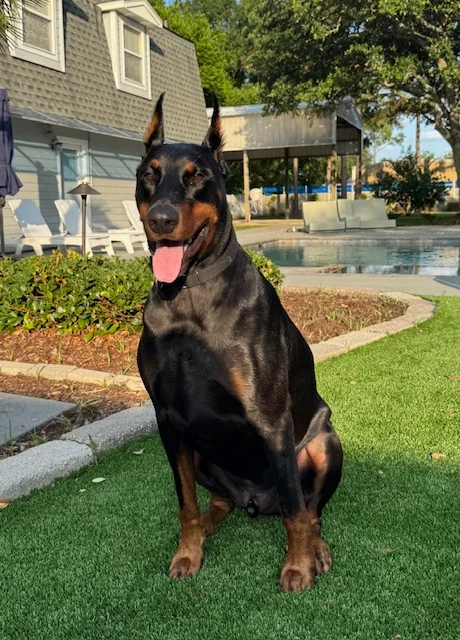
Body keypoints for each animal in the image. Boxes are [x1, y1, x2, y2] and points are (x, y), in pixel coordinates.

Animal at [136, 94, 343, 592]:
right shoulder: (168, 420)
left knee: (309, 508)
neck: (189, 294)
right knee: (217, 503)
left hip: (325, 443)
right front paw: (187, 552)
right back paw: (207, 529)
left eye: (198, 176)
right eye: (149, 173)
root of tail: (255, 502)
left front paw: (297, 566)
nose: (161, 218)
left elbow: (295, 508)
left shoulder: (270, 418)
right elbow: (185, 503)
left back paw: (316, 548)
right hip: (200, 454)